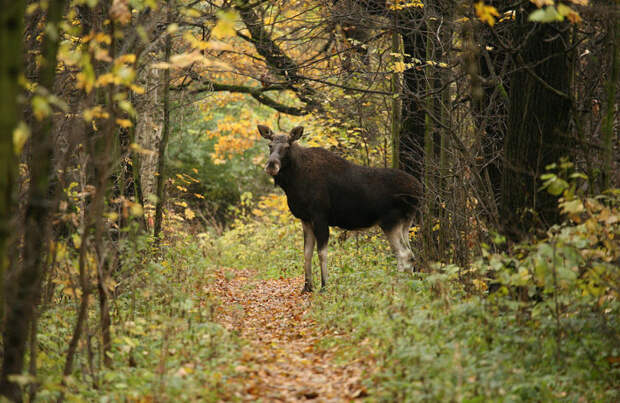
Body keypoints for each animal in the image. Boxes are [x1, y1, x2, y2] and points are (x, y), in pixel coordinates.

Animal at [256, 124, 422, 292]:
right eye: (270, 145)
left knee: (404, 254)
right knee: (410, 255)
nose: (271, 165)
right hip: (405, 223)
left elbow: (322, 253)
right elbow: (307, 252)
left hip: (390, 221)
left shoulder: (320, 216)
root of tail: (418, 190)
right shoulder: (305, 219)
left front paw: (324, 286)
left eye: (287, 147)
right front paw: (307, 287)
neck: (293, 183)